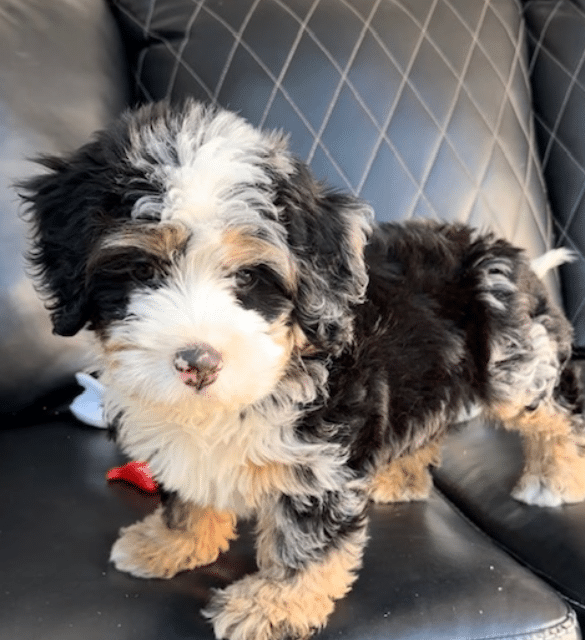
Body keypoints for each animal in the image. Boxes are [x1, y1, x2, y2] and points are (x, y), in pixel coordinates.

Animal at [21, 100, 584, 640]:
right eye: (141, 270)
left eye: (249, 277)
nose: (198, 363)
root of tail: (514, 256)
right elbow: (187, 490)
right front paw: (170, 541)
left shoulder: (320, 456)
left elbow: (305, 537)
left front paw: (274, 604)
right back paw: (401, 476)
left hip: (512, 359)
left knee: (558, 410)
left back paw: (555, 477)